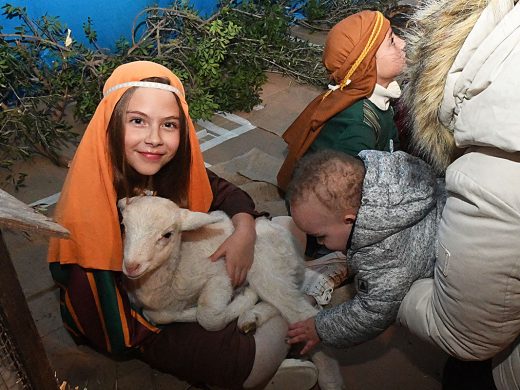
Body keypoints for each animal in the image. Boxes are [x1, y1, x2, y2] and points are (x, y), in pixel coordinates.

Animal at [119, 195, 346, 390]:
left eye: (167, 234)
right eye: (124, 227)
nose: (131, 266)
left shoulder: (221, 275)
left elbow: (208, 317)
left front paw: (236, 301)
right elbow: (156, 315)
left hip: (263, 264)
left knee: (302, 313)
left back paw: (330, 380)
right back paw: (250, 318)